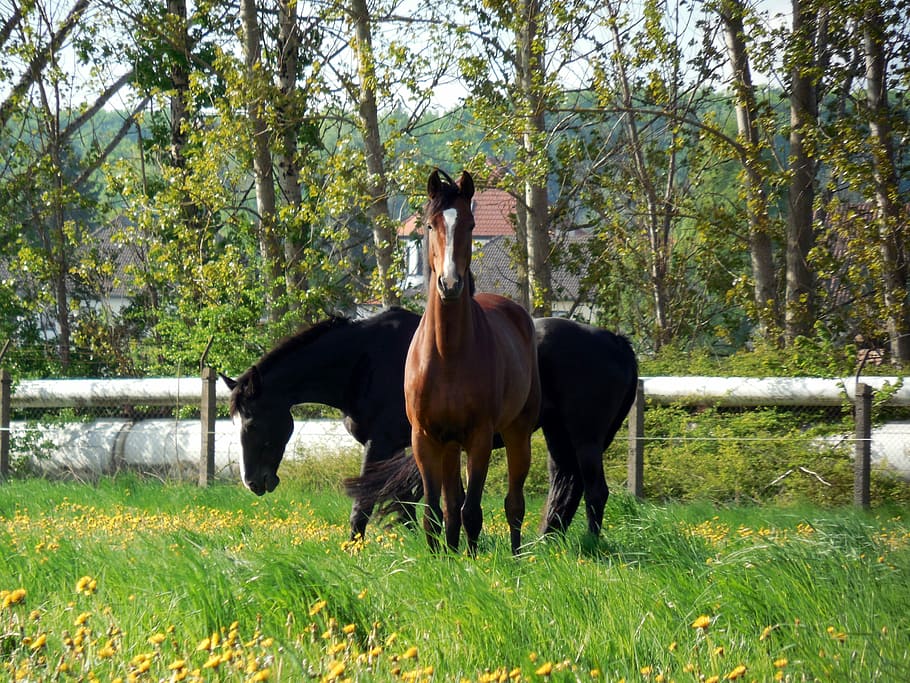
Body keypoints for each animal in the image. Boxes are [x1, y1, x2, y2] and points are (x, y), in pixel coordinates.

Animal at [404, 168, 541, 555]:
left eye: (470, 224)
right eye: (430, 224)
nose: (449, 284)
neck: (448, 354)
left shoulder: (480, 438)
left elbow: (473, 511)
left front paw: (472, 561)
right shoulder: (425, 438)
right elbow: (436, 512)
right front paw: (439, 559)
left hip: (517, 433)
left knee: (514, 504)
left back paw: (515, 555)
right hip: (450, 446)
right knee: (452, 506)